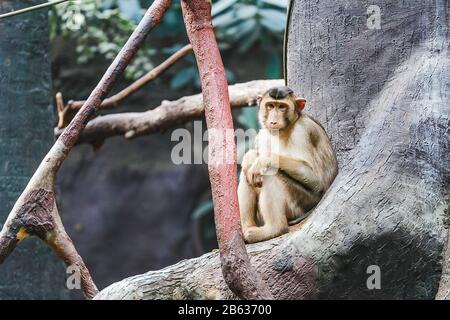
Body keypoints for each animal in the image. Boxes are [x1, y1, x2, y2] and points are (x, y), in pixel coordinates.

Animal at [239, 86, 338, 244]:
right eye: (270, 106)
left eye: (282, 107)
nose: (273, 121)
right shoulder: (263, 134)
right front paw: (249, 157)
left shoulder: (301, 131)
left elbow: (315, 179)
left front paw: (263, 160)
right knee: (247, 173)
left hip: (301, 203)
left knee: (269, 172)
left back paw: (275, 229)